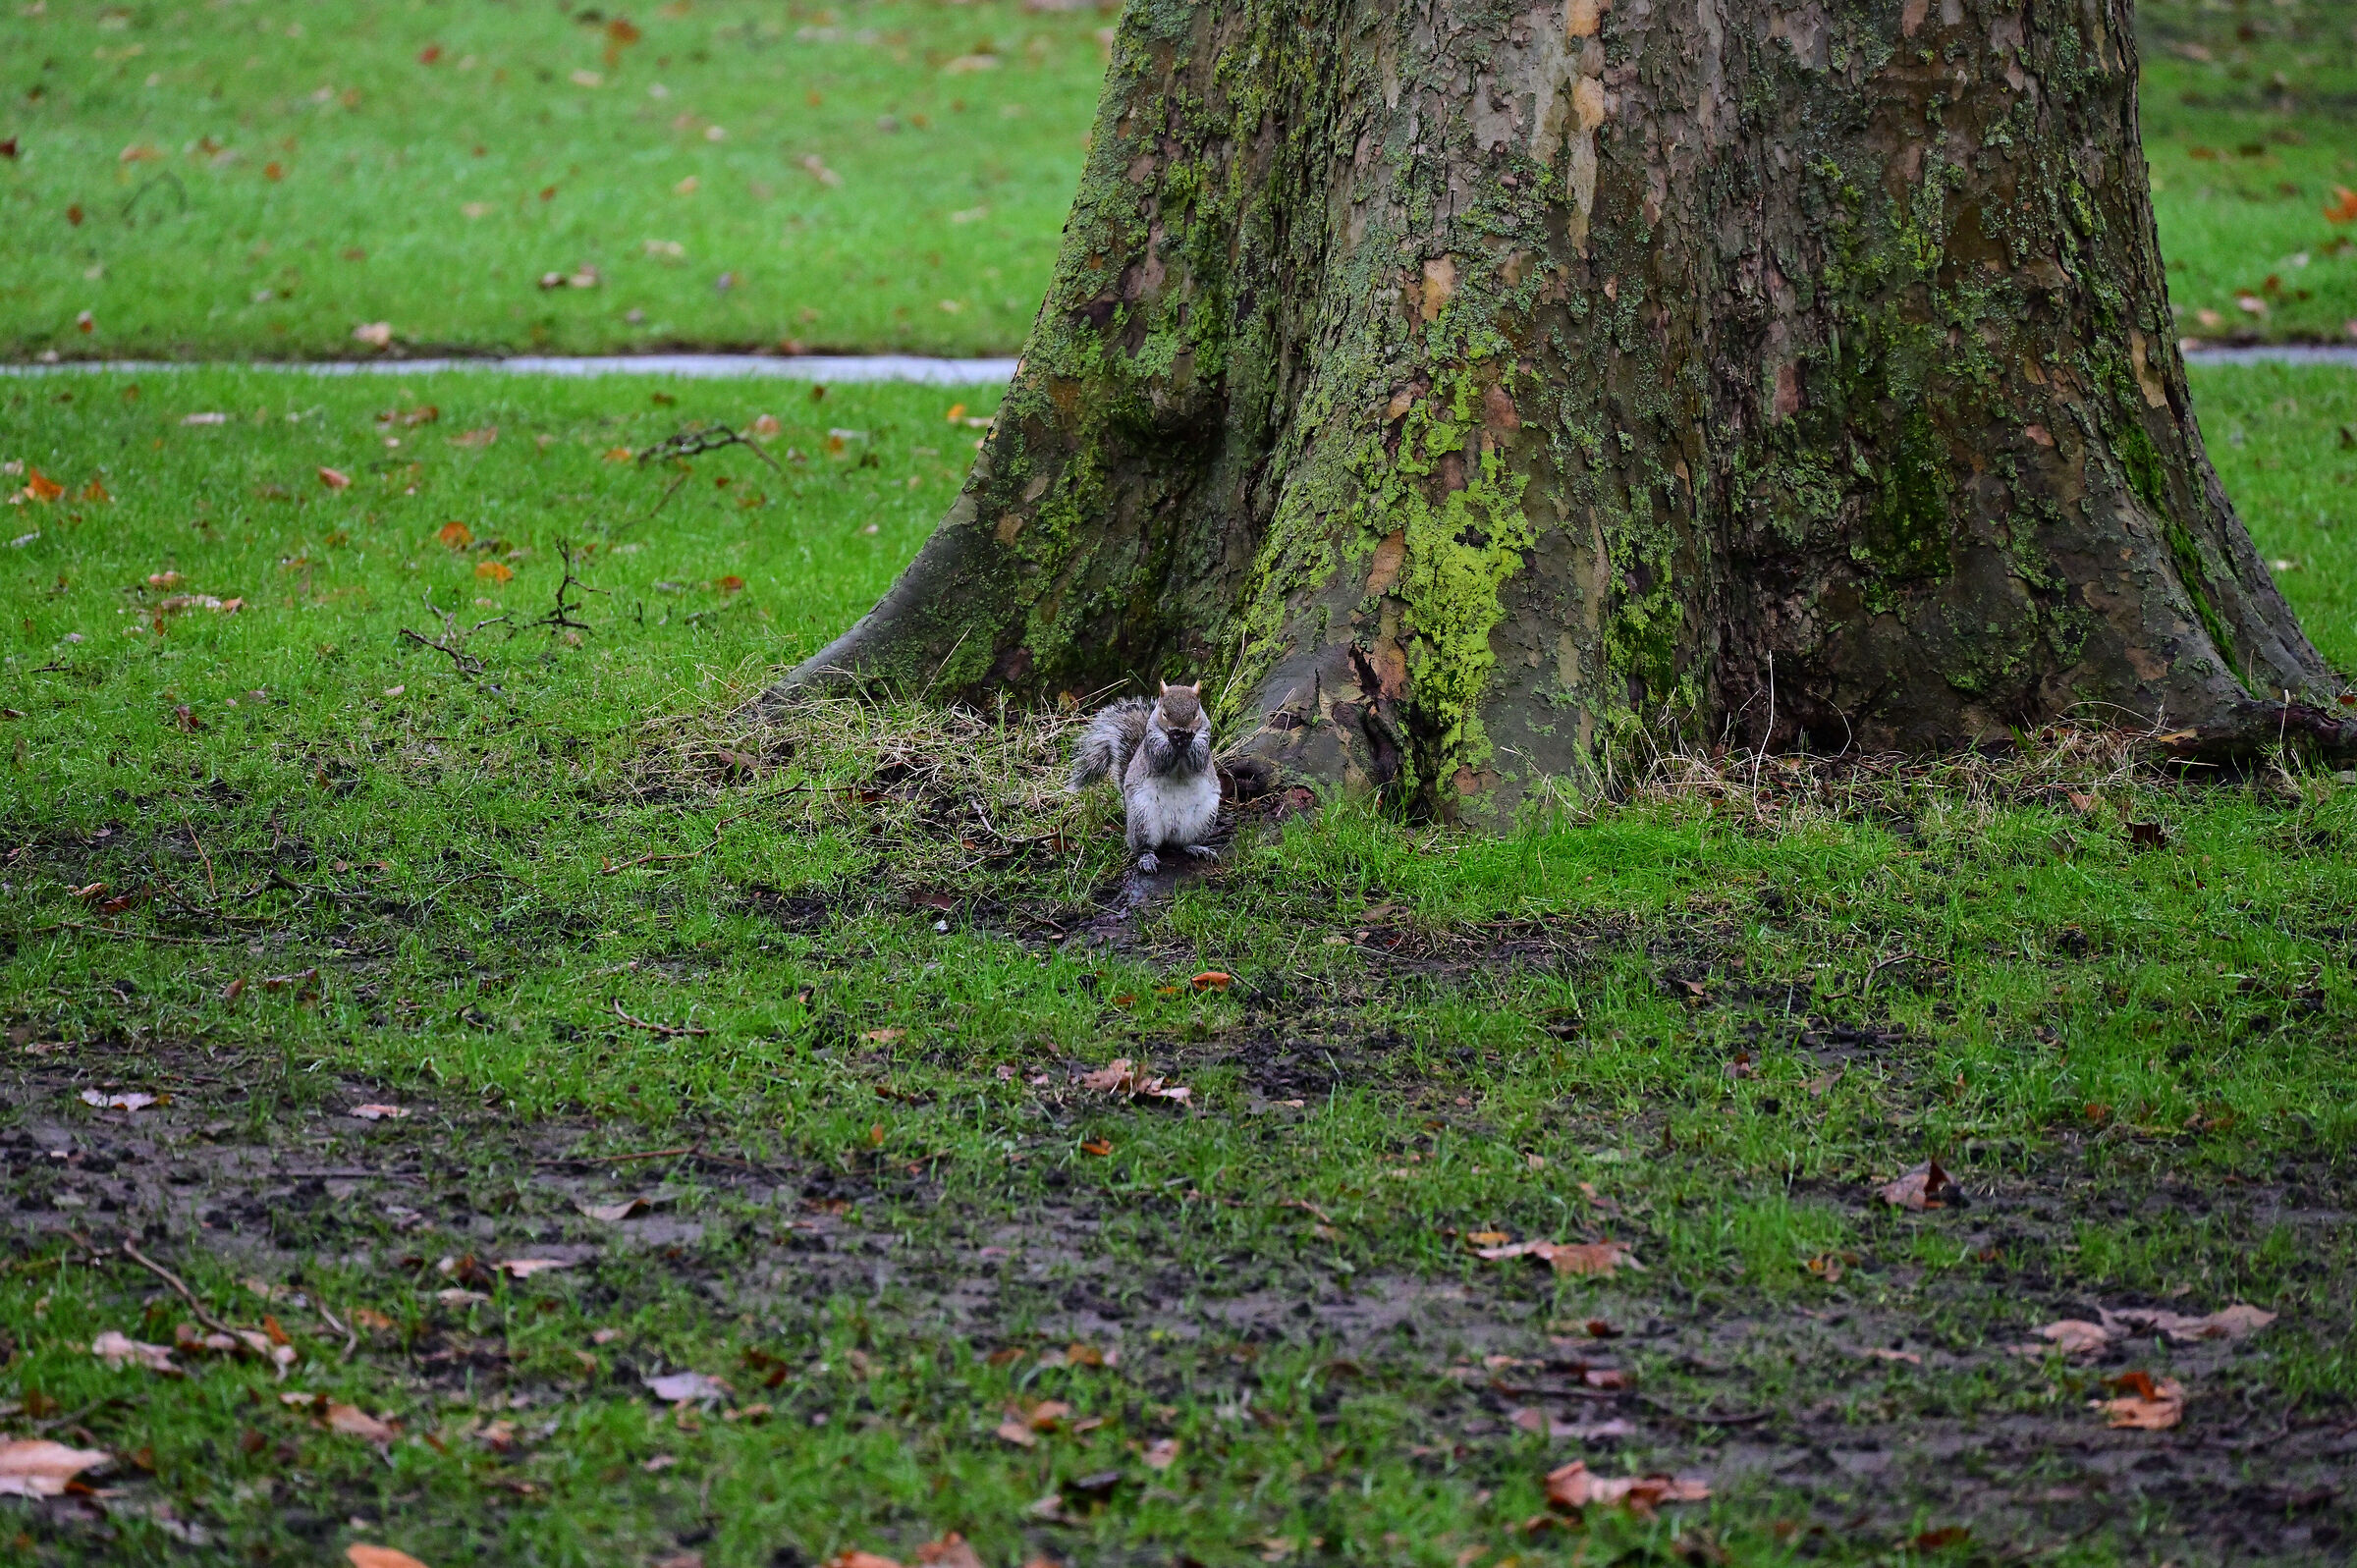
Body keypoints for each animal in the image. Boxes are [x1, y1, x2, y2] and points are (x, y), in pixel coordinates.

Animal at [1069, 681, 1221, 874]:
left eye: (1195, 714)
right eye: (1164, 714)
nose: (1181, 730)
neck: (1180, 748)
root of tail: (1170, 834)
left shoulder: (1204, 740)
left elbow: (1198, 760)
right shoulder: (1152, 745)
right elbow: (1160, 759)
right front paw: (1173, 739)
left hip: (1202, 819)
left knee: (1185, 844)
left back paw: (1198, 848)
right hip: (1143, 819)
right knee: (1142, 846)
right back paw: (1147, 858)